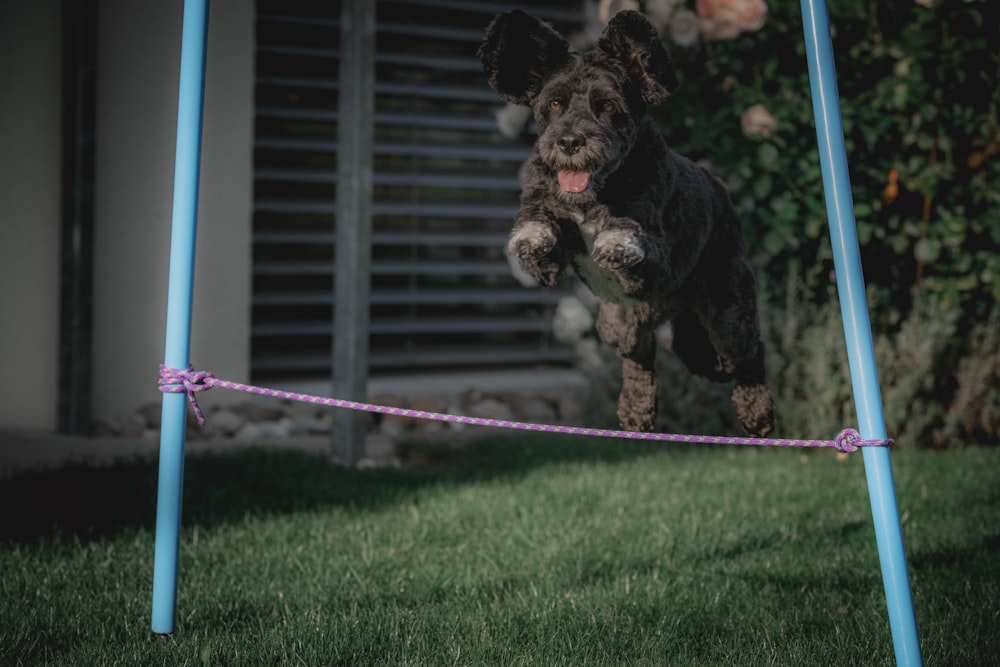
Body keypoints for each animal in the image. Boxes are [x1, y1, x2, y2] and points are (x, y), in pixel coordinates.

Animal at [480, 11, 776, 438]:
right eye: (554, 102)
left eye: (606, 105)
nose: (569, 141)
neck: (592, 195)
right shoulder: (550, 242)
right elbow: (538, 223)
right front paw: (532, 233)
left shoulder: (659, 259)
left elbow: (632, 235)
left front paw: (616, 239)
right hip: (620, 325)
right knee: (643, 360)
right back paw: (636, 411)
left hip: (729, 313)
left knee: (749, 355)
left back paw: (758, 413)